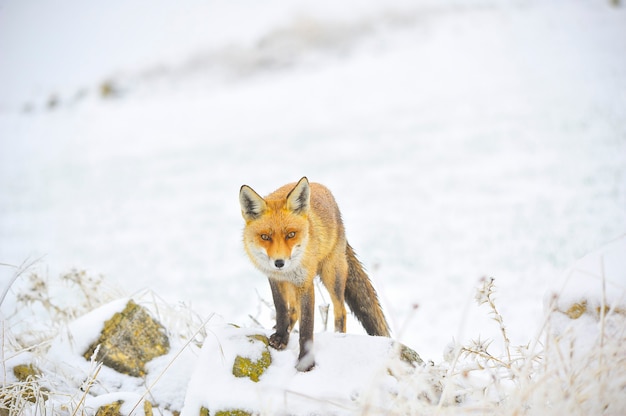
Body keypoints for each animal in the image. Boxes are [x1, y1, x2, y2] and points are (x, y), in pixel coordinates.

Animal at [240, 176, 390, 370]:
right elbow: (281, 310)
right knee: (293, 311)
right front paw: (281, 336)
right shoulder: (275, 278)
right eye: (265, 237)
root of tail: (321, 186)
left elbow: (306, 327)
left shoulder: (305, 282)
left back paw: (338, 336)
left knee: (340, 311)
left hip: (332, 276)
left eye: (291, 234)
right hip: (293, 284)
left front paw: (305, 362)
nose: (279, 263)